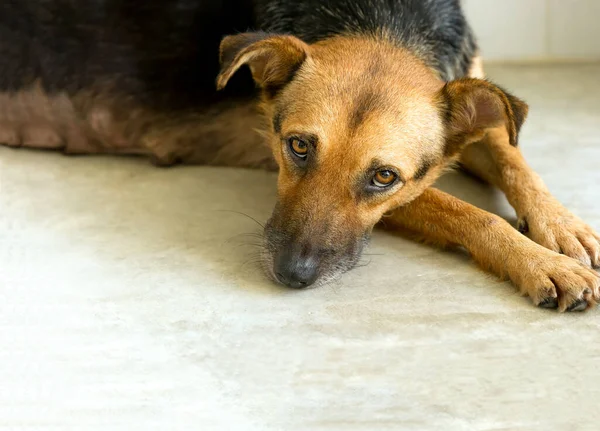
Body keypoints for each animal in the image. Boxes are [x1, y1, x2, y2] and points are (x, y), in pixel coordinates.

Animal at [1, 0, 600, 310]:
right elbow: (470, 213)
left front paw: (562, 229)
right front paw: (541, 263)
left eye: (384, 176)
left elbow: (515, 158)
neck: (384, 20)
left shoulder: (469, 122)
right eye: (298, 146)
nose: (292, 276)